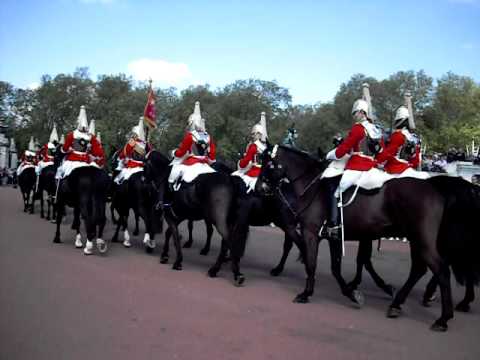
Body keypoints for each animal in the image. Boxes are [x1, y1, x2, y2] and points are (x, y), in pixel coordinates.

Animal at [255, 143, 454, 332]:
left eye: (267, 163)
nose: (258, 188)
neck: (312, 187)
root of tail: (434, 189)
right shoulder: (334, 237)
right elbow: (336, 268)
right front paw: (352, 294)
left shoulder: (310, 233)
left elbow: (312, 264)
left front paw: (306, 293)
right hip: (416, 240)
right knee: (419, 269)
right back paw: (397, 305)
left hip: (422, 241)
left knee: (441, 270)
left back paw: (443, 319)